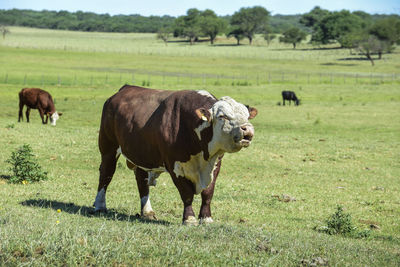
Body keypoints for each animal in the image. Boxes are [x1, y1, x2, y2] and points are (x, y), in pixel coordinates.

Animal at [93, 86, 256, 226]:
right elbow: (186, 193)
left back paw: (147, 212)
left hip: (142, 155)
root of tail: (124, 89)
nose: (247, 128)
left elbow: (208, 192)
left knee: (141, 180)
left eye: (247, 116)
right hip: (108, 148)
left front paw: (206, 218)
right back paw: (100, 206)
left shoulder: (215, 163)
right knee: (106, 174)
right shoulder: (174, 166)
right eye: (222, 116)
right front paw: (189, 219)